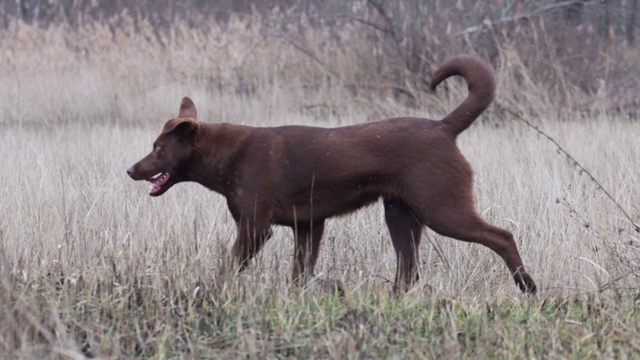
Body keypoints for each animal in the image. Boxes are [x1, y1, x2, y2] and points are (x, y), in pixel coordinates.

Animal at [127, 54, 536, 294]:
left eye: (158, 149)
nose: (130, 169)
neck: (227, 154)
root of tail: (443, 127)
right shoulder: (309, 225)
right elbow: (300, 273)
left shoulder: (255, 227)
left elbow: (229, 266)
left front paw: (211, 290)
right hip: (400, 215)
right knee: (409, 269)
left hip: (442, 209)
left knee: (502, 236)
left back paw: (527, 286)